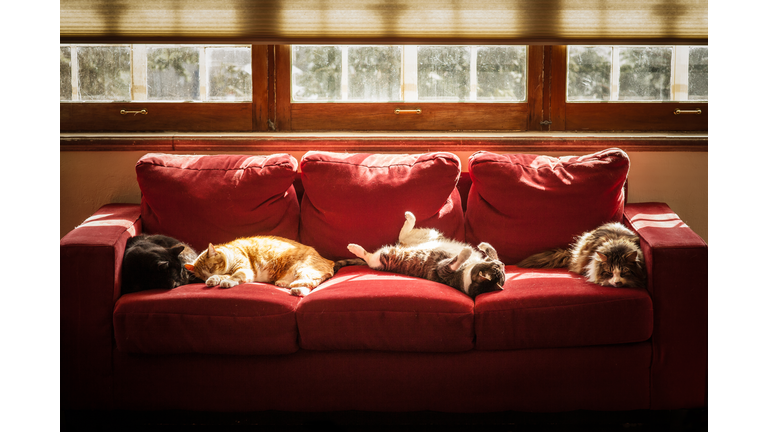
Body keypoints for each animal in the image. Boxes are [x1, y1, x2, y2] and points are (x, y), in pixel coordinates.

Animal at [184, 236, 334, 296]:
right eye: (203, 277)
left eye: (211, 268)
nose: (209, 276)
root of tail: (329, 261)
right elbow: (222, 276)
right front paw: (213, 279)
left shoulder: (244, 270)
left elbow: (233, 276)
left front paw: (226, 281)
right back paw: (286, 285)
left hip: (304, 269)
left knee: (309, 284)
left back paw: (296, 288)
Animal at [334, 211, 504, 298]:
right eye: (498, 266)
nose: (501, 265)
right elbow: (493, 251)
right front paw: (484, 246)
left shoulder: (442, 270)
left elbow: (456, 261)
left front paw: (467, 251)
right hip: (430, 235)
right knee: (403, 234)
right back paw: (409, 216)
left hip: (384, 258)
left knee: (370, 256)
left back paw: (354, 247)